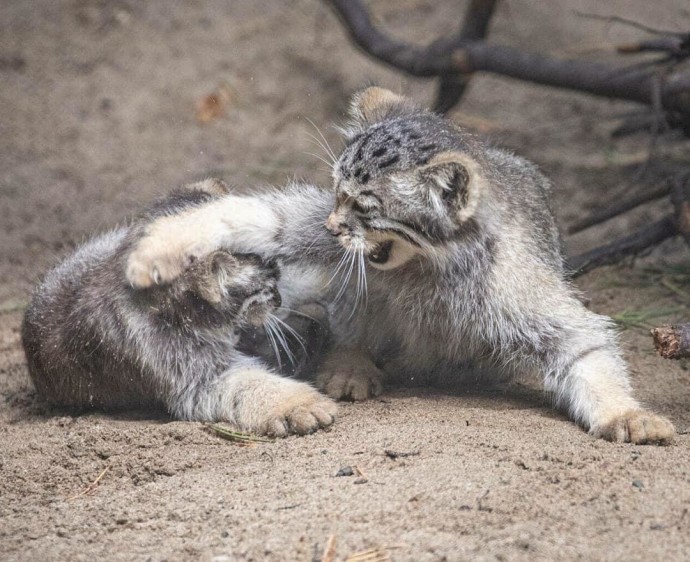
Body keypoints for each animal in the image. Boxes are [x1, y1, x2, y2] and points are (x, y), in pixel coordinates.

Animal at [25, 179, 338, 434]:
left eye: (276, 267)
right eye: (266, 284)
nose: (279, 300)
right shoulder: (195, 378)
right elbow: (252, 384)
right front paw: (299, 405)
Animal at [126, 87, 676, 442]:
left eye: (364, 207)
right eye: (335, 192)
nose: (331, 226)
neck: (426, 269)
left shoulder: (535, 299)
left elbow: (586, 346)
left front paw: (626, 412)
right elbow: (262, 217)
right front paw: (157, 248)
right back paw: (349, 360)